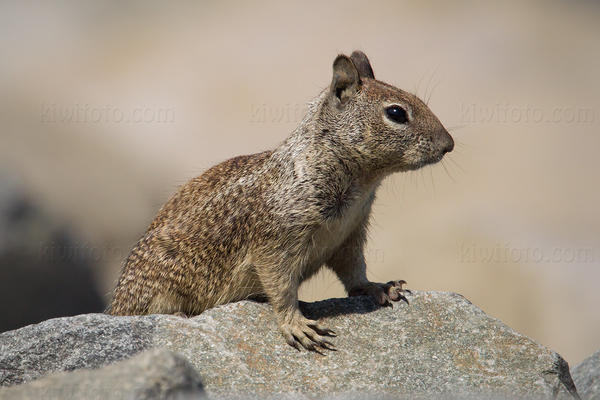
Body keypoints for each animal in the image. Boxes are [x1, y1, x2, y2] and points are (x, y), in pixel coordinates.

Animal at [108, 50, 454, 354]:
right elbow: (281, 285)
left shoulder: (350, 234)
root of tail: (116, 307)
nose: (448, 145)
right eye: (396, 113)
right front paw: (296, 325)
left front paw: (379, 287)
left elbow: (354, 271)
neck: (360, 183)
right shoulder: (277, 239)